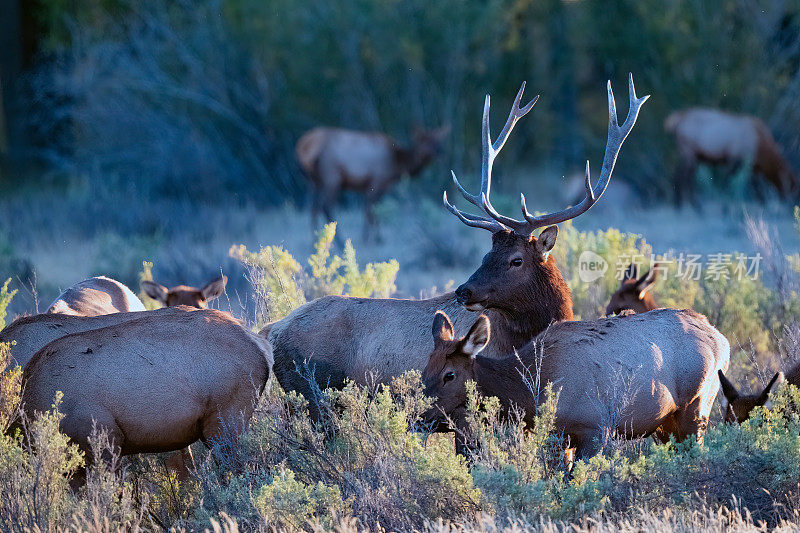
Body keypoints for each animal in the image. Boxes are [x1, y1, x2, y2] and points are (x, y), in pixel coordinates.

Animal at [296, 123, 450, 238]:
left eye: (437, 140)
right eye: (424, 140)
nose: (441, 152)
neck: (397, 164)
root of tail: (303, 147)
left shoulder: (375, 187)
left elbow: (372, 210)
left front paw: (372, 237)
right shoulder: (376, 182)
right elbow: (371, 211)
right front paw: (373, 239)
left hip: (315, 182)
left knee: (314, 208)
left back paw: (315, 240)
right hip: (331, 177)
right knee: (326, 207)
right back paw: (339, 241)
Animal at [424, 308, 732, 458]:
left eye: (449, 375)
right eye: (425, 370)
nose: (419, 417)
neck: (530, 393)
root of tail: (722, 339)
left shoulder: (596, 428)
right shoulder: (555, 436)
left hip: (697, 406)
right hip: (665, 422)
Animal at [664, 107, 800, 205]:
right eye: (792, 186)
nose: (791, 203)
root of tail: (676, 120)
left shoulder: (752, 167)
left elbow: (757, 189)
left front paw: (762, 203)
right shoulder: (734, 160)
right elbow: (728, 185)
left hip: (692, 156)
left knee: (682, 178)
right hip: (688, 152)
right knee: (682, 178)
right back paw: (689, 207)